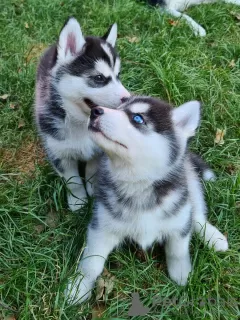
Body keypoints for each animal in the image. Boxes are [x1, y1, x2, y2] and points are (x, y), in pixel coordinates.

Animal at [34, 18, 130, 212]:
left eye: (118, 76)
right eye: (99, 78)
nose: (129, 98)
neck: (82, 122)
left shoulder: (98, 151)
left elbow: (92, 172)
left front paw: (92, 190)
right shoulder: (59, 153)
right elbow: (73, 182)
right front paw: (78, 201)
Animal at [66, 96, 229, 304]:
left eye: (137, 118)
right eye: (117, 108)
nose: (95, 111)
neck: (137, 184)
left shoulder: (178, 218)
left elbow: (177, 250)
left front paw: (182, 274)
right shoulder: (101, 227)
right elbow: (91, 262)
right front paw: (79, 287)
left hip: (190, 182)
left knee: (197, 215)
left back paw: (215, 238)